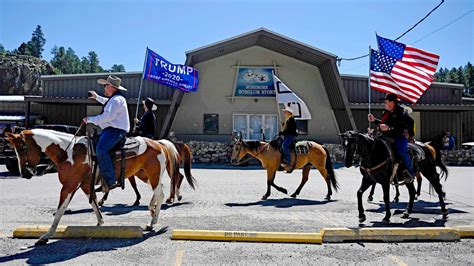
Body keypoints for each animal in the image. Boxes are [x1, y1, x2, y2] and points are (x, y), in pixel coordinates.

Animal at [5, 128, 180, 245]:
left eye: (21, 148)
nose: (24, 174)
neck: (69, 152)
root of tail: (158, 143)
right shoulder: (84, 185)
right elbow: (94, 202)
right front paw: (100, 223)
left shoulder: (69, 186)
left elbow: (60, 210)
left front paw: (47, 235)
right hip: (143, 175)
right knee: (159, 190)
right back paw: (151, 209)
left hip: (152, 174)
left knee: (160, 193)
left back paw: (152, 221)